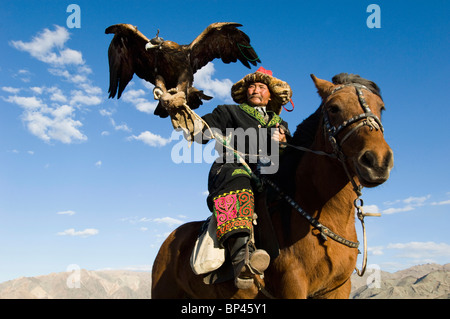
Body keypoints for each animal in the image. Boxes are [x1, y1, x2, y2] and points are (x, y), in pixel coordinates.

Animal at [151, 74, 394, 298]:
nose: (377, 161)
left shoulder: (339, 288)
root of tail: (170, 239)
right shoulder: (292, 286)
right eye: (334, 108)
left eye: (381, 108)